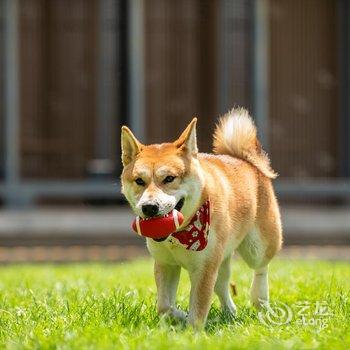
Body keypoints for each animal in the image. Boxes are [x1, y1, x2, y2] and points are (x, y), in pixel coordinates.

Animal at [120, 108, 282, 328]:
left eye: (169, 178)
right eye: (139, 181)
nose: (149, 207)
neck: (180, 235)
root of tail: (246, 162)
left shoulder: (204, 269)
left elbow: (198, 309)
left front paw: (191, 330)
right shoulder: (166, 264)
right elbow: (164, 306)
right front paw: (180, 316)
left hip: (255, 247)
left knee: (261, 268)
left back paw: (261, 302)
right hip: (221, 257)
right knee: (222, 285)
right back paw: (230, 312)